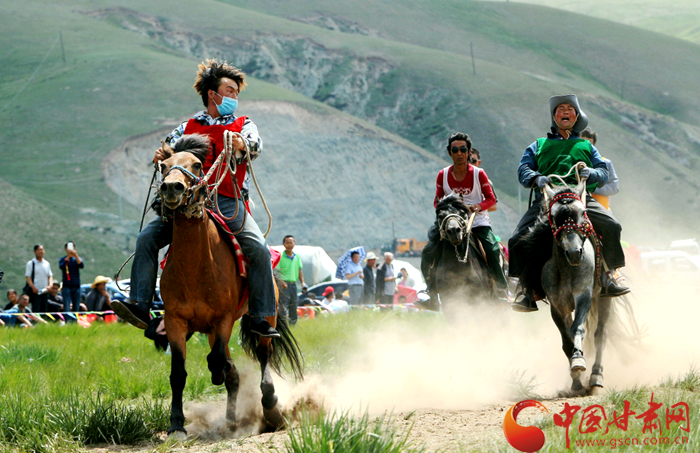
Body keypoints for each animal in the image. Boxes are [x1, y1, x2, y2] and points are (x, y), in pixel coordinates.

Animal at [157, 135, 302, 438]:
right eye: (163, 165)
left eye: (197, 164)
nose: (172, 187)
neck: (195, 267)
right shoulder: (175, 320)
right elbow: (179, 374)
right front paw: (176, 425)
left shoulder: (223, 319)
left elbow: (217, 361)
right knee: (232, 372)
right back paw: (232, 421)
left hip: (266, 315)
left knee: (263, 354)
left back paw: (271, 409)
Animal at [520, 178, 612, 394]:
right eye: (554, 216)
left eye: (582, 212)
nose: (575, 253)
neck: (566, 268)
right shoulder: (557, 306)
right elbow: (566, 340)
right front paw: (576, 380)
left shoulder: (583, 296)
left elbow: (577, 328)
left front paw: (578, 361)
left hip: (604, 298)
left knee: (600, 335)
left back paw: (596, 377)